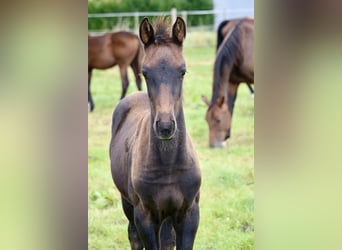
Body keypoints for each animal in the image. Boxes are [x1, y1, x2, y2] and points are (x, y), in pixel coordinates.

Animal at [109, 16, 202, 249]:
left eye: (183, 71)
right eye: (145, 72)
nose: (165, 126)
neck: (168, 164)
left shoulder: (189, 213)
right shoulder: (145, 216)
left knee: (167, 239)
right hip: (128, 203)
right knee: (133, 235)